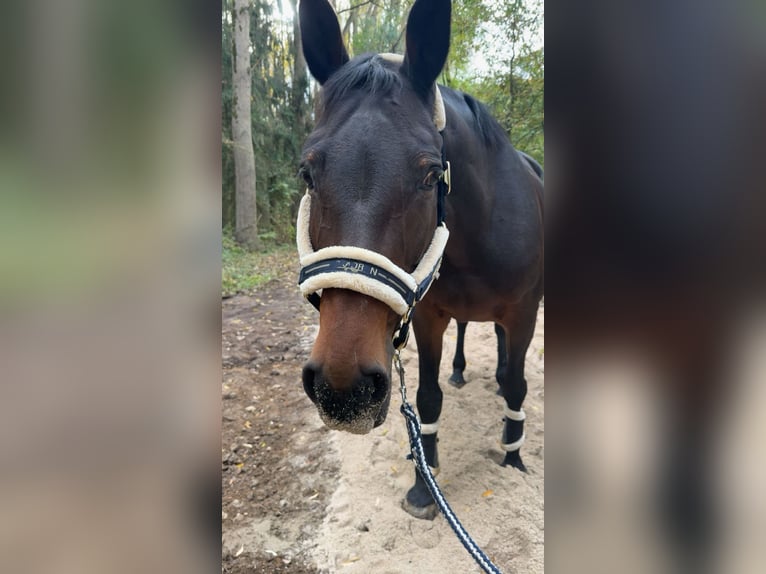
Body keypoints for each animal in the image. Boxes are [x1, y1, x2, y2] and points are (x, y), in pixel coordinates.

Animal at [296, 0, 543, 520]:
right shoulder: (430, 315)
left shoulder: (524, 313)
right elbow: (428, 399)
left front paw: (513, 458)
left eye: (431, 175)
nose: (343, 389)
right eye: (307, 173)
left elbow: (518, 384)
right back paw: (462, 369)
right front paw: (423, 484)